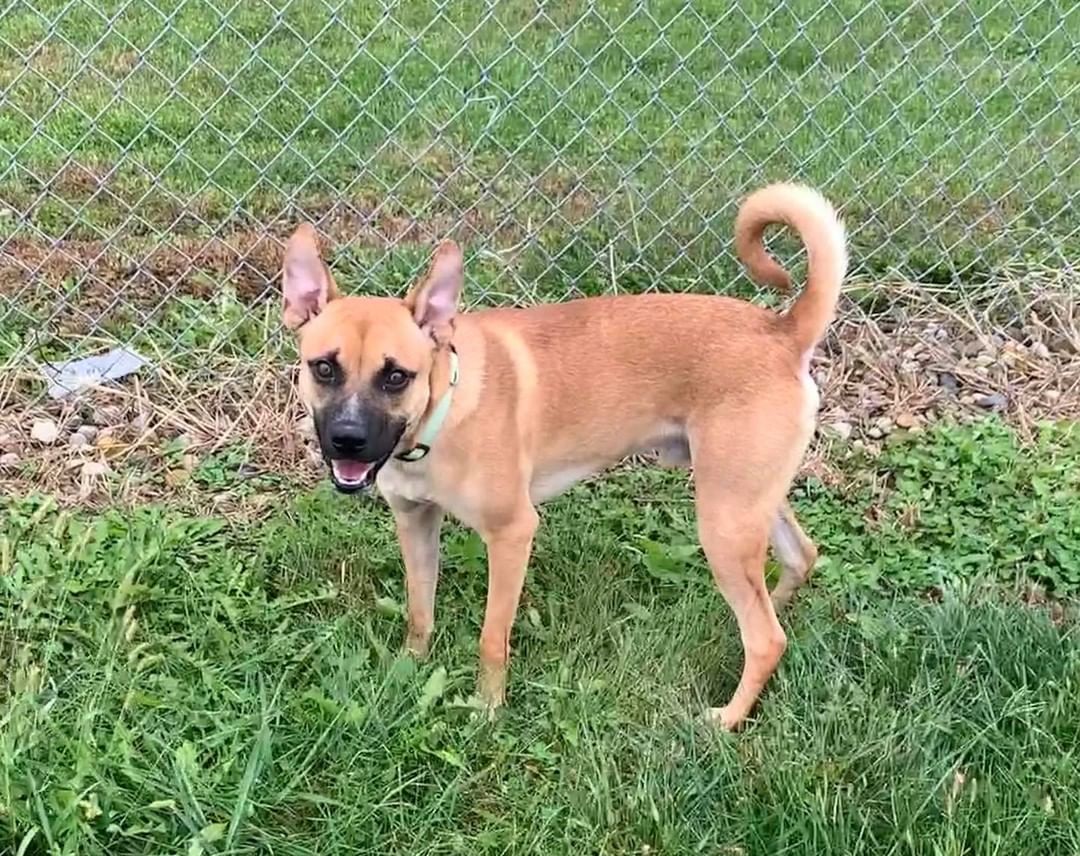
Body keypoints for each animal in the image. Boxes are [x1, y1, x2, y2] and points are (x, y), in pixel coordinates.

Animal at [282, 182, 846, 729]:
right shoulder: (415, 522)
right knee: (797, 561)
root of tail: (784, 332)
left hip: (722, 521)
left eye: (396, 376)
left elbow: (492, 638)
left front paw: (488, 709)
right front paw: (410, 667)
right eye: (324, 368)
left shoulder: (512, 535)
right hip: (746, 502)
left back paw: (727, 718)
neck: (439, 414)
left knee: (767, 638)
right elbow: (419, 610)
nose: (347, 440)